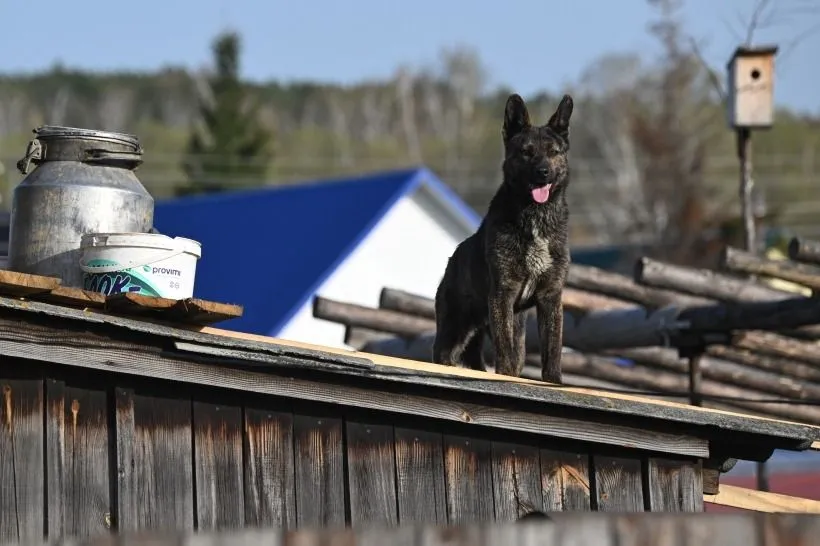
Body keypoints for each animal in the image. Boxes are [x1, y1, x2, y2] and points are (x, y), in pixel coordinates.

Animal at [432, 92, 572, 382]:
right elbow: (505, 353)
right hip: (454, 333)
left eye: (553, 152)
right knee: (445, 355)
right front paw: (505, 376)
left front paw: (555, 382)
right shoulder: (503, 294)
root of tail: (452, 261)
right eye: (527, 152)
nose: (543, 172)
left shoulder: (550, 297)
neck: (535, 218)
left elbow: (553, 349)